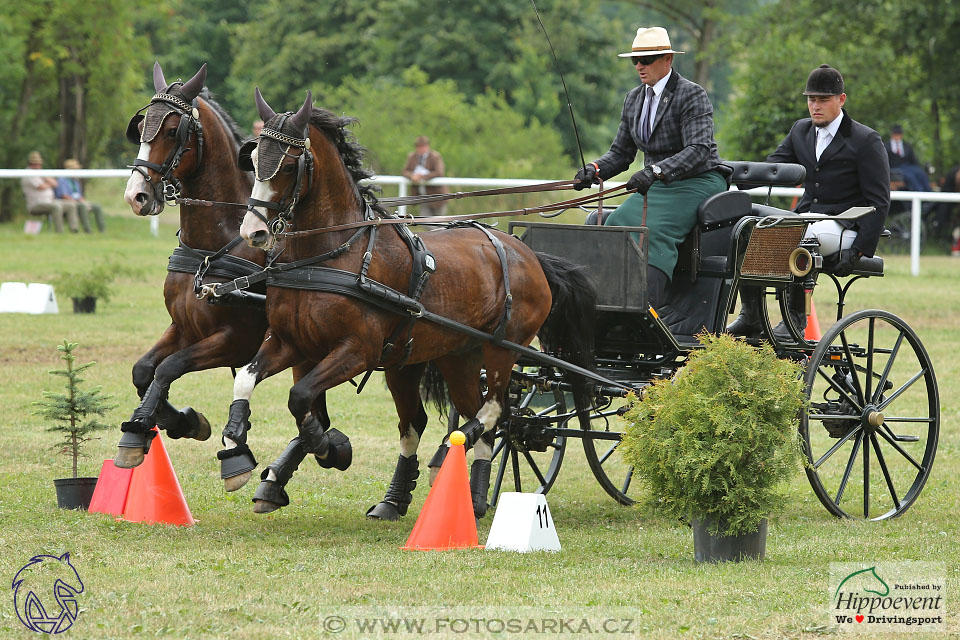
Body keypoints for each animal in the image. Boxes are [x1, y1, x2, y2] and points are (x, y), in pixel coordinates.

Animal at [113, 61, 352, 490]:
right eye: (140, 130)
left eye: (172, 132)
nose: (136, 196)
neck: (216, 245)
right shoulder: (184, 328)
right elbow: (144, 370)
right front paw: (177, 422)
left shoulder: (234, 341)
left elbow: (169, 367)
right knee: (314, 410)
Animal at [226, 90, 596, 516]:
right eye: (253, 160)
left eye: (287, 166)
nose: (253, 232)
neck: (332, 255)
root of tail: (527, 253)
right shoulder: (291, 342)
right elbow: (248, 380)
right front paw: (236, 452)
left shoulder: (358, 351)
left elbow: (300, 397)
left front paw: (329, 449)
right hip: (453, 356)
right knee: (450, 419)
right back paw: (450, 496)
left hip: (501, 350)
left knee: (494, 410)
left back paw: (445, 462)